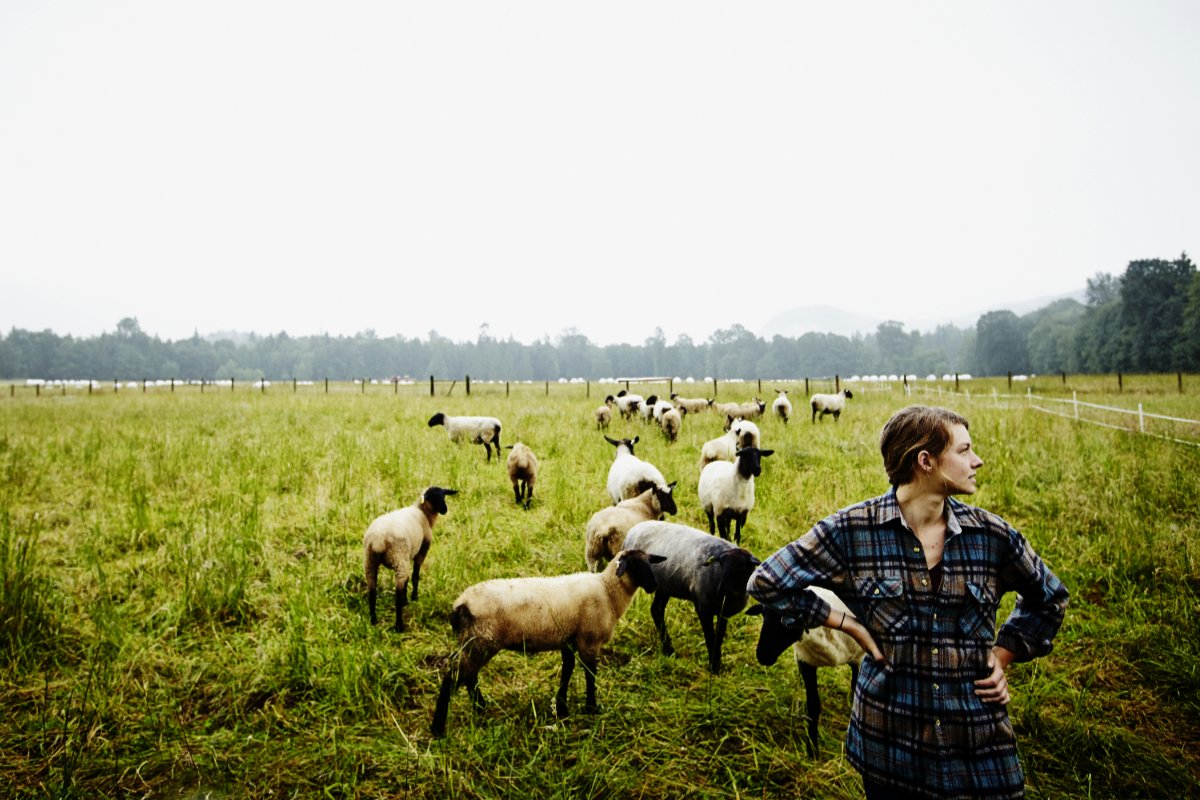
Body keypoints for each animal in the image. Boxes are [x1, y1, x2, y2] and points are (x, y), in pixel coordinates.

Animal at [357, 484, 456, 633]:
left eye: (443, 496)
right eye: (434, 497)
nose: (445, 509)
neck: (423, 513)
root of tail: (379, 540)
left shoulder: (408, 555)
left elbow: (408, 579)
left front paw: (406, 599)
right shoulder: (422, 550)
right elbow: (415, 576)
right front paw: (413, 597)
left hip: (371, 561)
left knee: (372, 591)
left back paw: (373, 620)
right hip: (398, 558)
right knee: (396, 595)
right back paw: (399, 626)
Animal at [427, 551, 667, 738]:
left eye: (649, 563)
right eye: (635, 565)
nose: (654, 585)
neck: (607, 591)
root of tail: (460, 605)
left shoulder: (569, 641)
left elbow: (567, 671)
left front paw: (562, 707)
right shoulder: (588, 641)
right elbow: (590, 675)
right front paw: (592, 707)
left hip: (476, 641)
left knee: (469, 676)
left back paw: (480, 707)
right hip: (481, 641)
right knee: (454, 677)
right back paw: (438, 728)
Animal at [619, 522, 758, 671]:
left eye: (740, 567)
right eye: (720, 565)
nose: (721, 590)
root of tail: (634, 529)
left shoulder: (723, 612)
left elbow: (719, 636)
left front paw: (717, 664)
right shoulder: (703, 607)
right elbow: (710, 637)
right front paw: (713, 667)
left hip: (664, 585)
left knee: (656, 610)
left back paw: (669, 650)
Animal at [739, 582, 864, 758]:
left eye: (788, 621)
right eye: (763, 614)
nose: (762, 656)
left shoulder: (859, 660)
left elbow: (856, 696)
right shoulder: (805, 662)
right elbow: (813, 706)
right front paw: (812, 750)